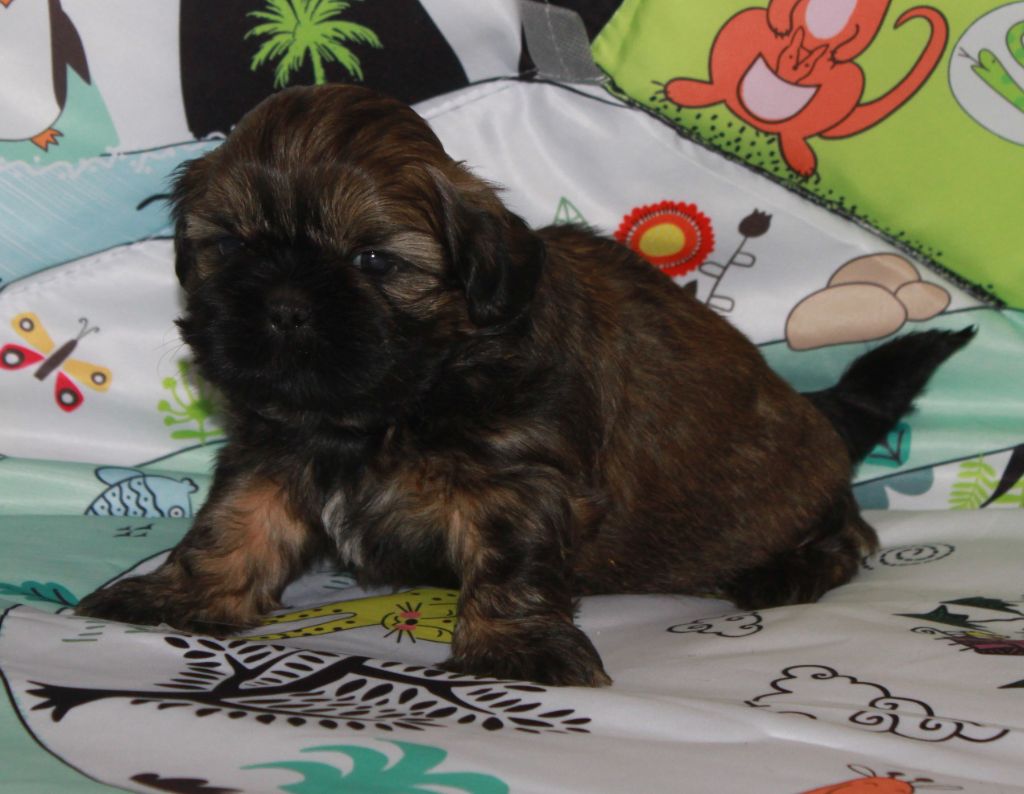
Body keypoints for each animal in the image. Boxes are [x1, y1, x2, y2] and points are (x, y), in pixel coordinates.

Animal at [76, 84, 972, 686]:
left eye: (374, 261)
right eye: (233, 246)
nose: (285, 306)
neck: (395, 401)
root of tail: (818, 414)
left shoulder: (520, 480)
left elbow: (511, 565)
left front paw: (515, 647)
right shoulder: (272, 452)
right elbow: (232, 528)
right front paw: (176, 596)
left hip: (795, 488)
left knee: (851, 533)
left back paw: (788, 569)